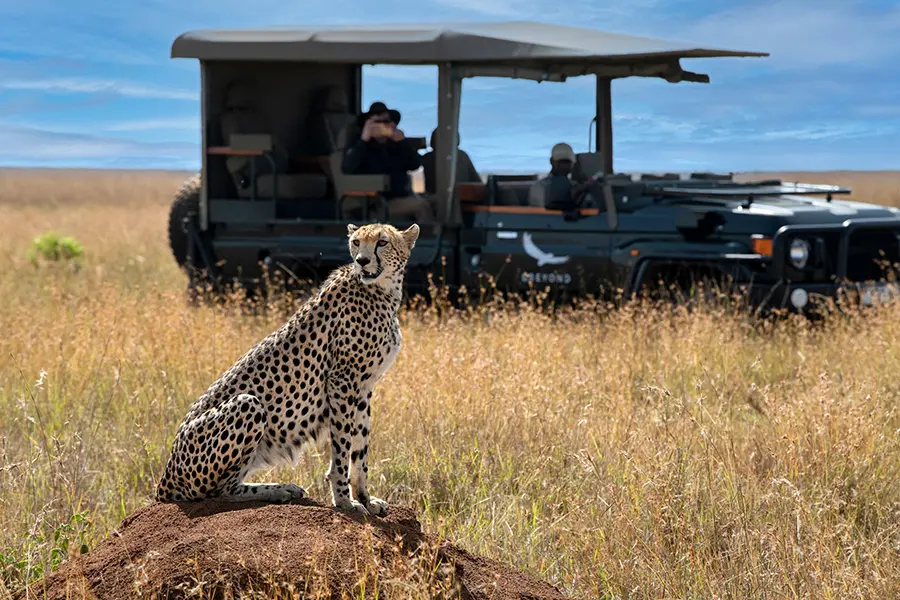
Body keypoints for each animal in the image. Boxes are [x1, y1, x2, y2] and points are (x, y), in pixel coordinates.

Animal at [155, 222, 420, 517]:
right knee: (218, 491)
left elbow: (360, 447)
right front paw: (343, 500)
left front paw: (365, 498)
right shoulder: (342, 381)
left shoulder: (363, 387)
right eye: (355, 242)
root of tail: (165, 478)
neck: (381, 290)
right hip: (247, 404)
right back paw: (279, 490)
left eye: (382, 242)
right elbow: (342, 446)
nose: (362, 261)